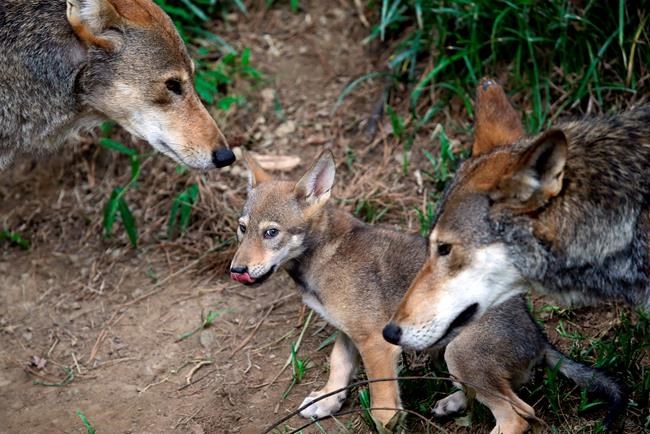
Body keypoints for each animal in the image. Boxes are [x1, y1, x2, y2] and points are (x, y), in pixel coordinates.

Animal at [229, 151, 623, 431]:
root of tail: (538, 336)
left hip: (459, 354)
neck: (323, 254)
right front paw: (326, 403)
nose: (237, 270)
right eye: (242, 228)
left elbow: (383, 408)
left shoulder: (375, 342)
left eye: (271, 233)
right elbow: (338, 369)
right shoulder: (347, 333)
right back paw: (453, 402)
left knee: (518, 416)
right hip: (455, 357)